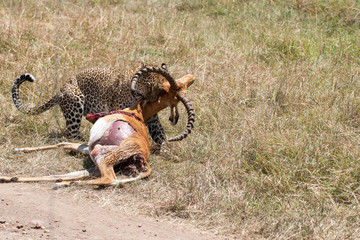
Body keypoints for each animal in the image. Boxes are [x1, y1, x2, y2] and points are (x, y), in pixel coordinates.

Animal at [11, 63, 172, 145]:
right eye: (150, 86)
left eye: (160, 90)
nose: (153, 100)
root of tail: (60, 89)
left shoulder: (152, 119)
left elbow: (160, 134)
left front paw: (168, 152)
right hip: (75, 102)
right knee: (69, 134)